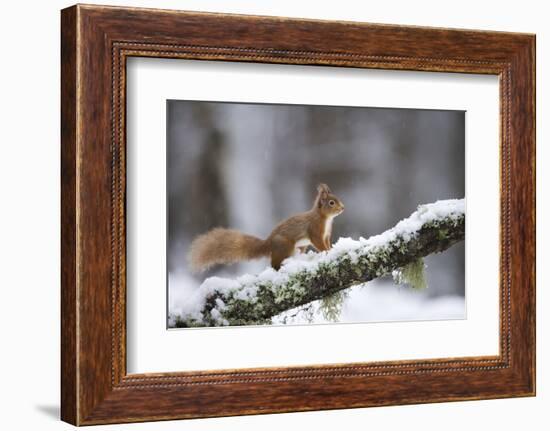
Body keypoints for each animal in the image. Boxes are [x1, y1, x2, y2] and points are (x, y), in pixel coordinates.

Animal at [190, 184, 344, 272]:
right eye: (331, 202)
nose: (343, 208)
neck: (325, 218)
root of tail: (268, 243)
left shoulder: (326, 235)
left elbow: (327, 242)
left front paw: (331, 249)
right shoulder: (315, 230)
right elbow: (319, 243)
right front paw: (327, 252)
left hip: (299, 247)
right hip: (285, 246)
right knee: (274, 263)